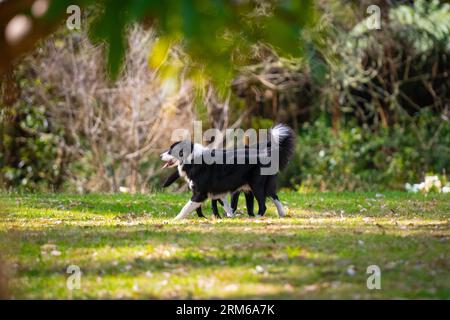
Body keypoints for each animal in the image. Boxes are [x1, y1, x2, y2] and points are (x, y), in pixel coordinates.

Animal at [159, 124, 296, 219]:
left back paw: (258, 217)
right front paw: (230, 216)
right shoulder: (217, 190)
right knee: (275, 197)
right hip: (264, 186)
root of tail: (266, 155)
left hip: (257, 186)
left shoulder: (200, 193)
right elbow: (225, 205)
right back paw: (281, 214)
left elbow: (186, 207)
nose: (160, 156)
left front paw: (175, 219)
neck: (191, 157)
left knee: (263, 205)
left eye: (170, 151)